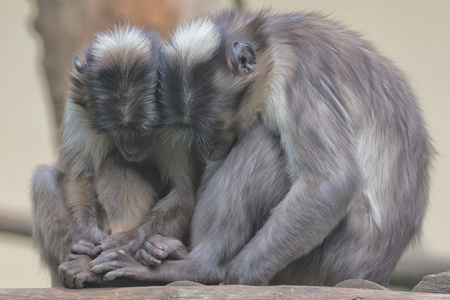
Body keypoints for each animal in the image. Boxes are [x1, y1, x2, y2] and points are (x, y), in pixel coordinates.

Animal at [31, 26, 200, 288]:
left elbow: (182, 190)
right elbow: (79, 176)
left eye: (144, 129)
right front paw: (88, 243)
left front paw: (128, 240)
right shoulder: (81, 101)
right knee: (45, 177)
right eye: (117, 130)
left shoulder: (179, 106)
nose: (131, 148)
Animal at [88, 11, 432, 288]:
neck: (272, 45)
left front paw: (229, 273)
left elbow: (332, 181)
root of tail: (376, 272)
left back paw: (199, 266)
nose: (207, 147)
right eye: (192, 129)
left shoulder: (300, 80)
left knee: (262, 141)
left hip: (333, 258)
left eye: (212, 125)